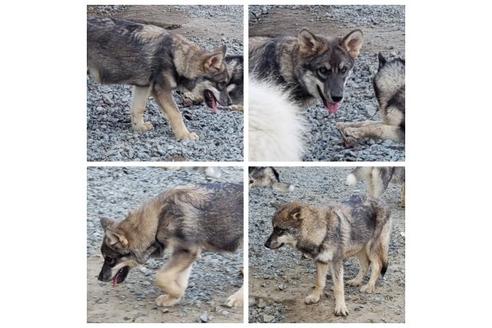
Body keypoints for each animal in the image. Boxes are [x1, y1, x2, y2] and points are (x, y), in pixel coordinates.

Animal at [88, 17, 231, 140]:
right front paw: (184, 135)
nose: (230, 103)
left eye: (225, 83)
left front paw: (139, 127)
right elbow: (176, 114)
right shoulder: (161, 91)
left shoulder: (144, 87)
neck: (175, 56)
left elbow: (138, 108)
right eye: (221, 84)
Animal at [97, 183, 243, 308]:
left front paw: (177, 293)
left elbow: (160, 277)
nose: (99, 278)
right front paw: (174, 297)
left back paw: (238, 298)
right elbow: (177, 278)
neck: (158, 220)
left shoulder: (187, 252)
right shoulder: (182, 253)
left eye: (109, 259)